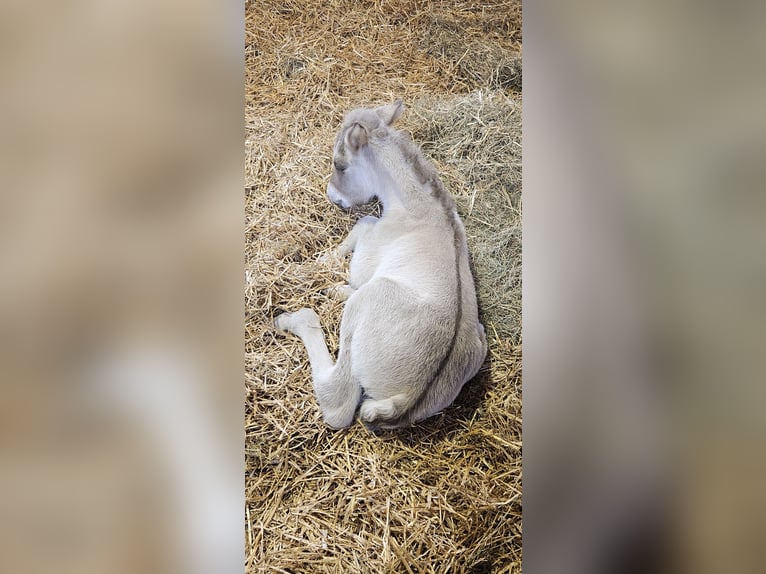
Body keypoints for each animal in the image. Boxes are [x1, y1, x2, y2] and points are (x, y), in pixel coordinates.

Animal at [276, 101, 488, 430]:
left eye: (339, 164)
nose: (332, 197)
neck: (419, 208)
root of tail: (406, 397)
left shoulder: (368, 254)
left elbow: (363, 224)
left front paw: (322, 261)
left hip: (370, 301)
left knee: (338, 402)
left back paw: (295, 317)